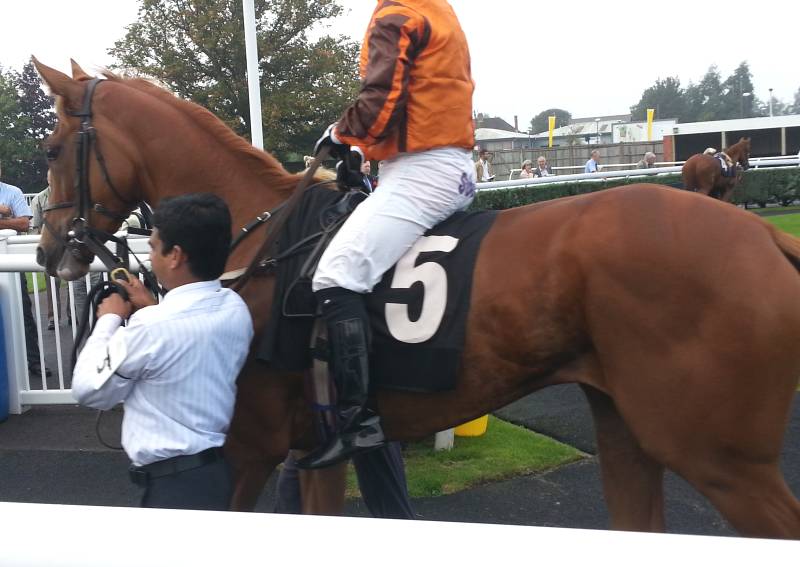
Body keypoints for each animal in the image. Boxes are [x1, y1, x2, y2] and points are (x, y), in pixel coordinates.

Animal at [33, 58, 800, 538]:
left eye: (50, 149)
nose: (46, 250)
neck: (258, 241)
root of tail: (766, 236)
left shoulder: (249, 448)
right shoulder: (315, 451)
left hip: (718, 456)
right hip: (627, 428)